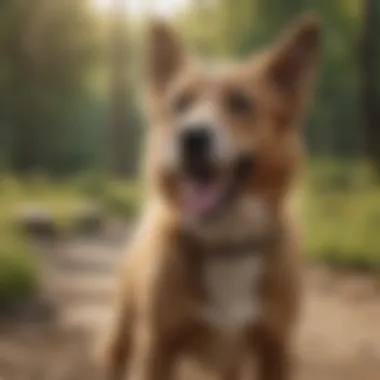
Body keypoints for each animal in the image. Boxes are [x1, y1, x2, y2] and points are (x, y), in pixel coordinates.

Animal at [98, 12, 320, 380]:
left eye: (241, 103)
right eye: (179, 103)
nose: (191, 137)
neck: (225, 242)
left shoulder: (275, 349)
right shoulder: (159, 348)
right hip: (123, 331)